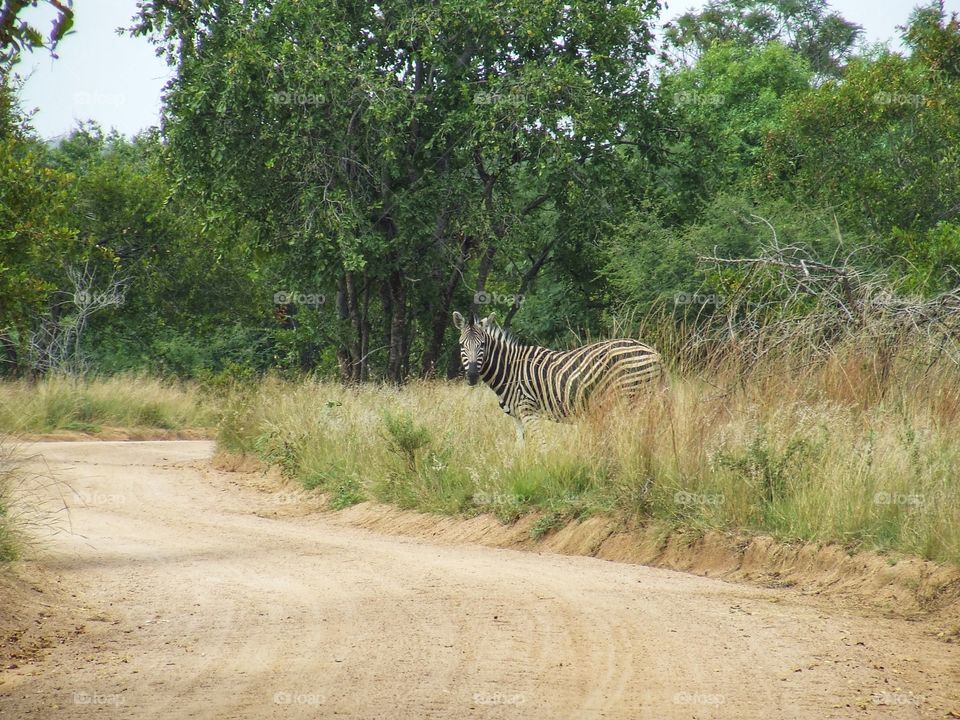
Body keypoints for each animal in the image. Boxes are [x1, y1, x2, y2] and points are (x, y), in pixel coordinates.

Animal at [452, 311, 662, 442]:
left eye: (482, 345)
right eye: (462, 345)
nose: (472, 376)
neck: (510, 370)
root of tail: (653, 352)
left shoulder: (529, 411)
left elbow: (541, 445)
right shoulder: (517, 418)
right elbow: (520, 448)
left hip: (632, 397)